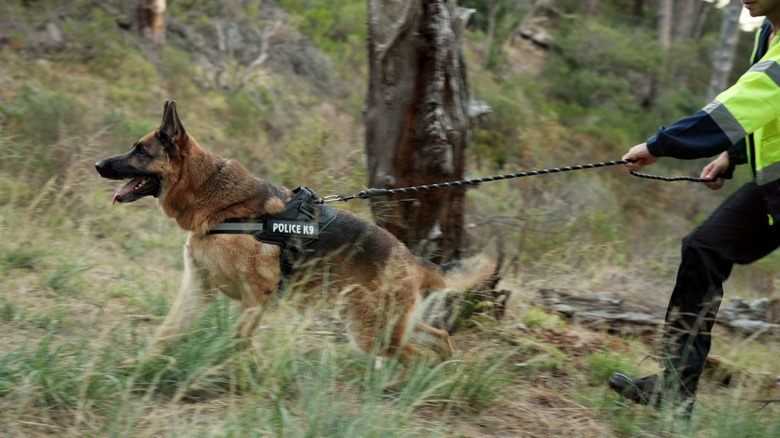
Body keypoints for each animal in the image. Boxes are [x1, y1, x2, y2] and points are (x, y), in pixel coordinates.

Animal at [94, 102, 490, 362]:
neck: (213, 196)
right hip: (383, 325)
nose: (97, 164)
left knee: (418, 357)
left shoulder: (256, 295)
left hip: (372, 333)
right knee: (440, 338)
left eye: (140, 150)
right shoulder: (197, 290)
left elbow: (238, 342)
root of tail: (411, 259)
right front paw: (138, 369)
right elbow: (166, 333)